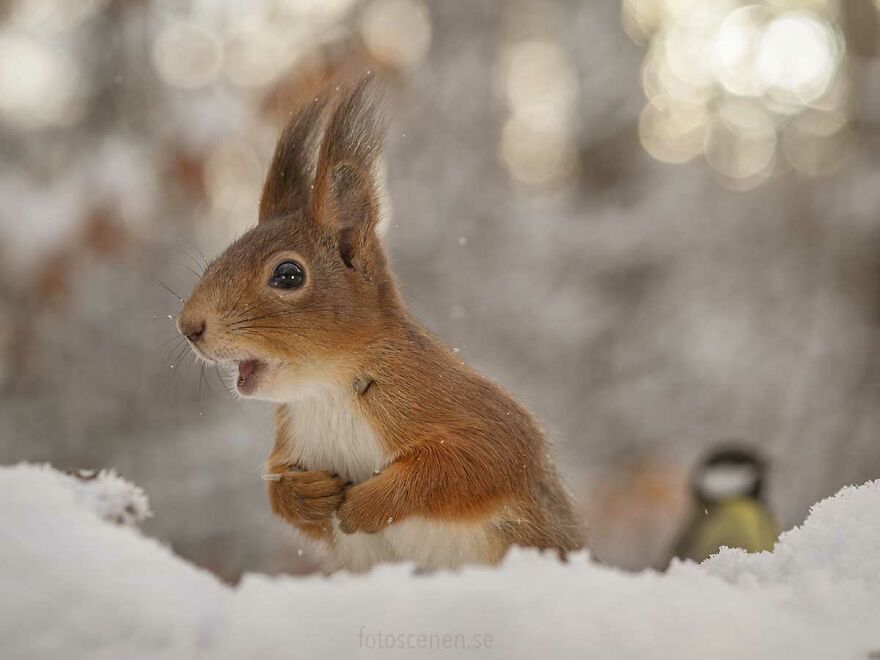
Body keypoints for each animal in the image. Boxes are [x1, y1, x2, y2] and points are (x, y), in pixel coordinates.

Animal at [177, 76, 584, 572]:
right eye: (222, 254)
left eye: (288, 275)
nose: (189, 325)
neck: (326, 390)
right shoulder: (289, 440)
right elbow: (279, 494)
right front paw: (303, 495)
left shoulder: (469, 411)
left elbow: (473, 464)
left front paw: (366, 504)